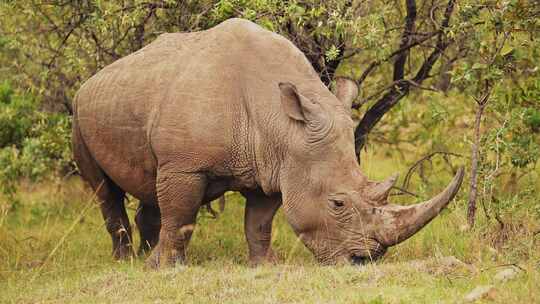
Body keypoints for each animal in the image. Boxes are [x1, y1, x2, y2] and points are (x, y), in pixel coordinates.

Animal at [73, 17, 464, 268]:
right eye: (337, 203)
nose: (364, 260)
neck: (284, 125)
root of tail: (94, 78)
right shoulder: (186, 165)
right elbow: (181, 214)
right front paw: (165, 269)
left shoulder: (275, 165)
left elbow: (259, 222)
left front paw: (265, 265)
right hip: (79, 111)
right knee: (105, 190)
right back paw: (126, 261)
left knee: (148, 183)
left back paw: (143, 253)